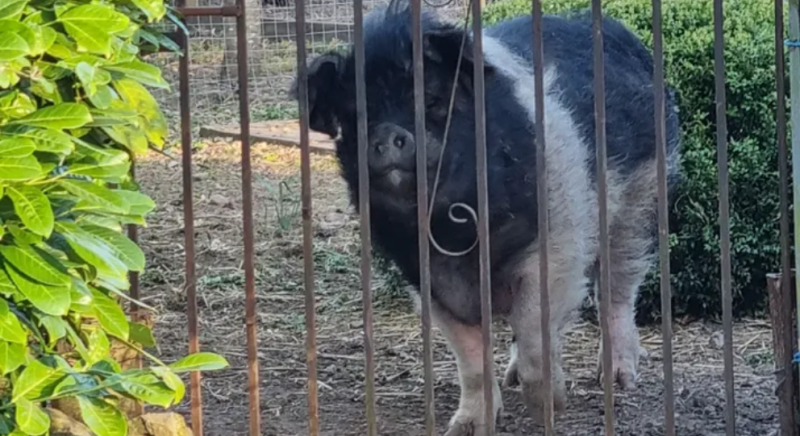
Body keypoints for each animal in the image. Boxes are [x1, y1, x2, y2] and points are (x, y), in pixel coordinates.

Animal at [292, 3, 681, 435]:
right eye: (356, 116)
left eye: (434, 100)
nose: (388, 133)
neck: (454, 232)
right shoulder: (427, 281)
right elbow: (471, 358)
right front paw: (465, 427)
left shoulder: (557, 245)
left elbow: (534, 328)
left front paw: (549, 409)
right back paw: (512, 378)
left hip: (641, 199)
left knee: (618, 290)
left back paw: (618, 380)